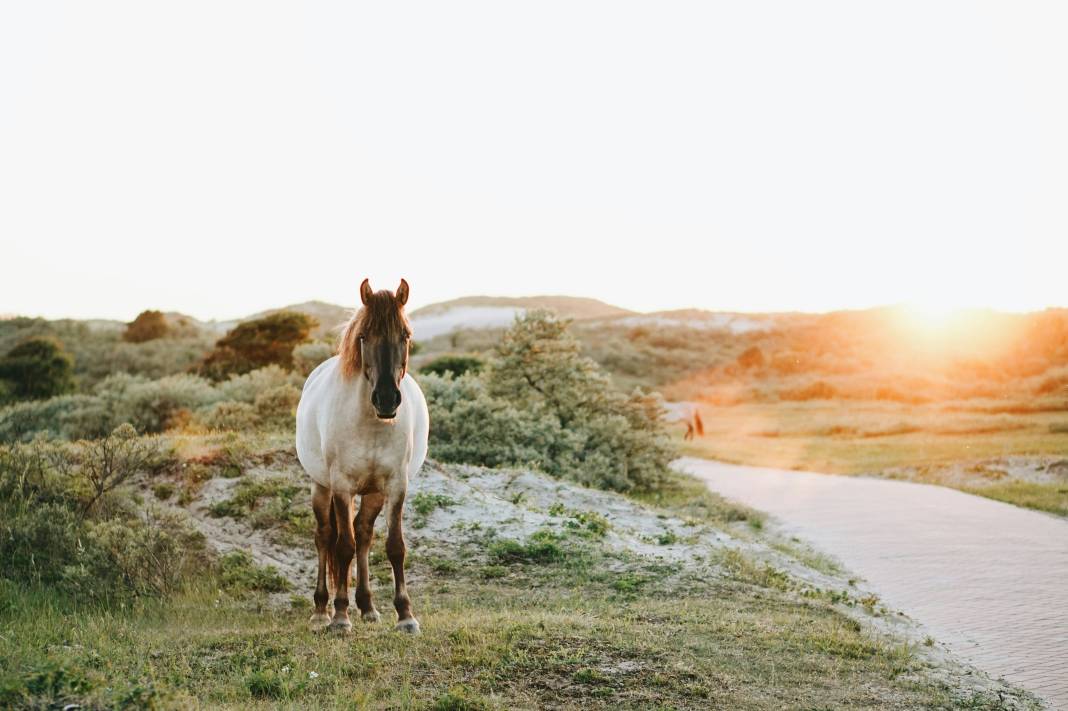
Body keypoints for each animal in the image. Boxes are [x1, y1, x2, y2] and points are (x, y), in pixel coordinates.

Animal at [294, 277, 427, 632]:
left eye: (405, 336)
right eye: (364, 336)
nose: (387, 399)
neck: (371, 423)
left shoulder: (396, 486)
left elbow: (394, 547)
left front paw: (405, 615)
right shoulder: (341, 486)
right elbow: (343, 547)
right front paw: (340, 617)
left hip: (373, 492)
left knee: (364, 533)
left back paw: (367, 606)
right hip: (321, 485)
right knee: (325, 536)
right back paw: (321, 610)